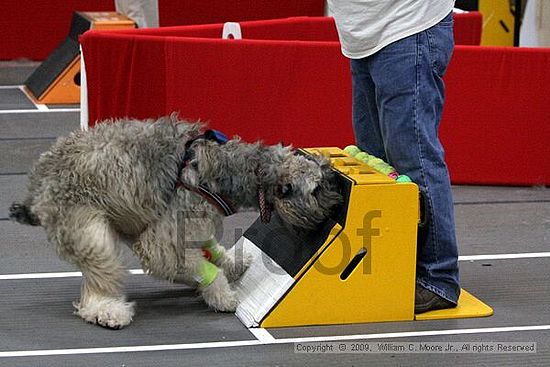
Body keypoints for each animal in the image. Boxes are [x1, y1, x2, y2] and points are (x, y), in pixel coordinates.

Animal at [9, 115, 340, 330]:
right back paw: (109, 311)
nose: (338, 198)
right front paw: (223, 295)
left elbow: (208, 250)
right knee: (96, 286)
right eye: (316, 188)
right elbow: (203, 268)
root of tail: (37, 183)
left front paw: (231, 262)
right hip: (92, 236)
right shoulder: (162, 243)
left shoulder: (188, 226)